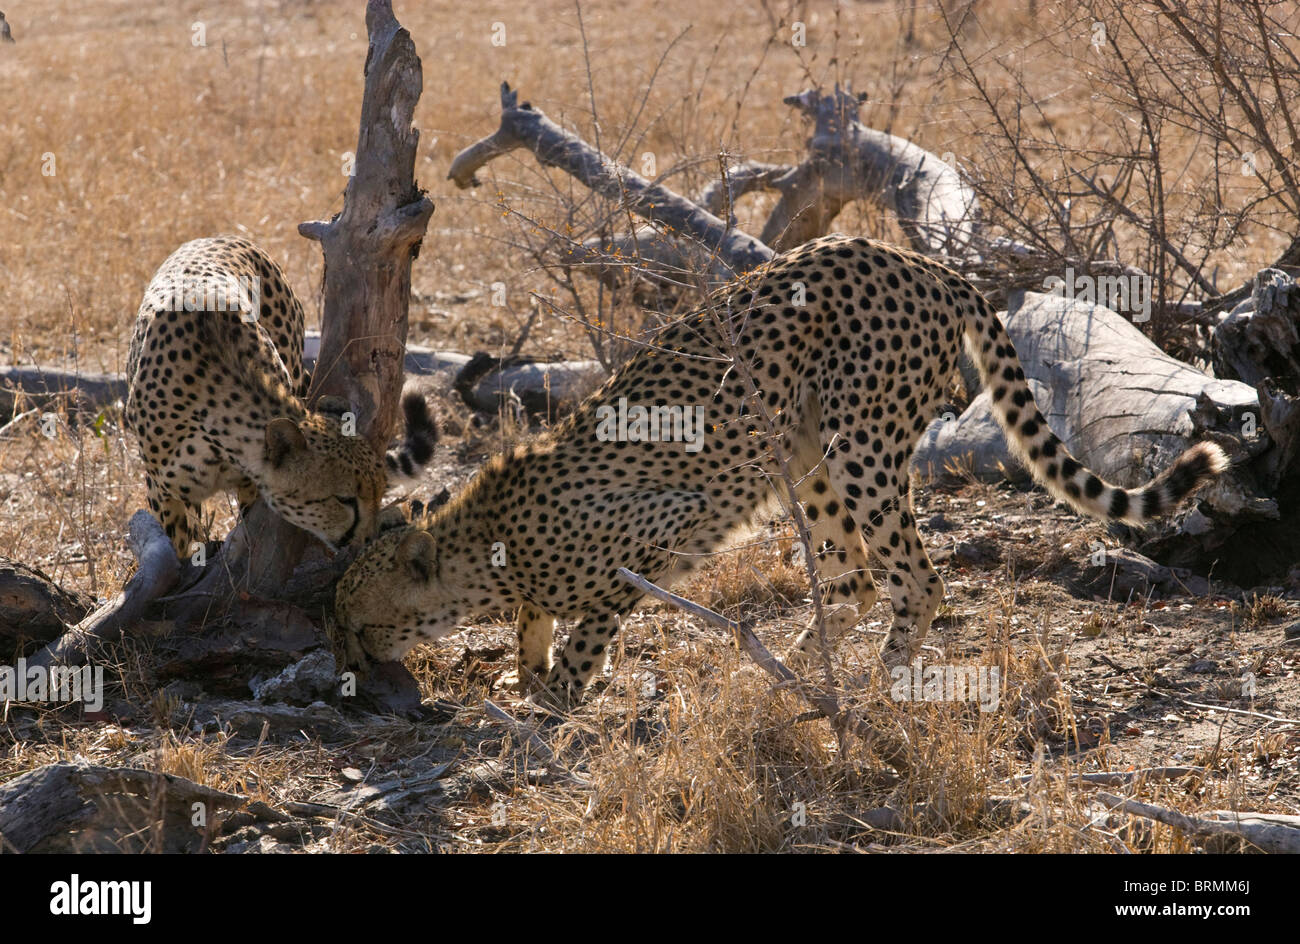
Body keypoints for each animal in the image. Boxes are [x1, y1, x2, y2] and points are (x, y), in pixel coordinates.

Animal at [128, 236, 439, 559]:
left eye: (379, 492)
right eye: (345, 500)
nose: (366, 540)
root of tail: (222, 236)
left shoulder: (251, 483)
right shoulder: (163, 492)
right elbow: (178, 548)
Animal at [330, 234, 1222, 707]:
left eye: (356, 621)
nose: (347, 669)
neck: (486, 544)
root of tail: (921, 259)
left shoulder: (661, 526)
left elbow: (591, 628)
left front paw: (560, 699)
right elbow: (536, 627)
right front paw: (533, 678)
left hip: (861, 440)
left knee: (914, 579)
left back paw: (871, 688)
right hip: (804, 449)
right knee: (855, 577)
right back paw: (786, 669)